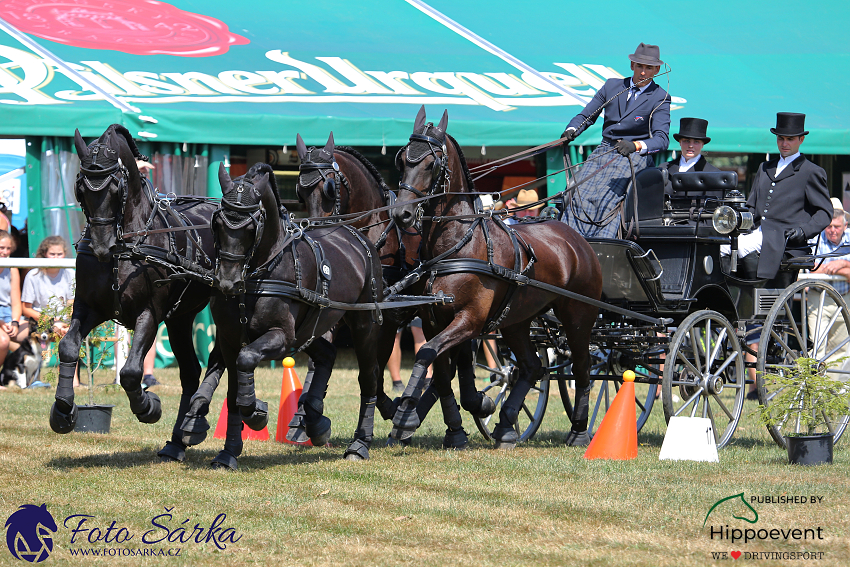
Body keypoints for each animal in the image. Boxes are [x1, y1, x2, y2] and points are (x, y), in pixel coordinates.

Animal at [53, 122, 230, 464]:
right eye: (81, 188)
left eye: (115, 188)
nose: (101, 246)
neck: (127, 245)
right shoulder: (89, 307)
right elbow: (68, 346)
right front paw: (63, 411)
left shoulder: (149, 313)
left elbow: (132, 371)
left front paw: (149, 407)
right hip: (180, 318)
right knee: (190, 372)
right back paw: (177, 442)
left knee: (218, 358)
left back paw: (194, 423)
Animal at [183, 163, 384, 462]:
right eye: (217, 224)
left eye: (251, 226)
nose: (227, 282)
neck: (258, 274)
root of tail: (358, 237)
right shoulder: (229, 338)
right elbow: (233, 393)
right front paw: (229, 452)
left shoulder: (281, 336)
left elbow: (247, 359)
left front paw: (256, 413)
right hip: (309, 329)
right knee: (327, 354)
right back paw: (315, 421)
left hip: (363, 325)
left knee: (368, 378)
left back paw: (359, 444)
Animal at [294, 133, 494, 448]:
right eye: (300, 192)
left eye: (328, 188)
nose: (314, 236)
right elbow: (322, 358)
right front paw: (308, 416)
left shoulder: (385, 319)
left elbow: (374, 372)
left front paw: (392, 410)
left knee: (456, 357)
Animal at [388, 107, 600, 448]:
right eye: (403, 159)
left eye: (431, 163)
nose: (402, 214)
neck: (458, 244)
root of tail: (576, 238)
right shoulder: (434, 319)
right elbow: (442, 372)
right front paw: (454, 429)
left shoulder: (470, 320)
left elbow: (426, 352)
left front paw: (406, 412)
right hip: (516, 321)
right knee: (531, 366)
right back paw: (506, 426)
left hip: (579, 316)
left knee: (582, 366)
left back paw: (579, 432)